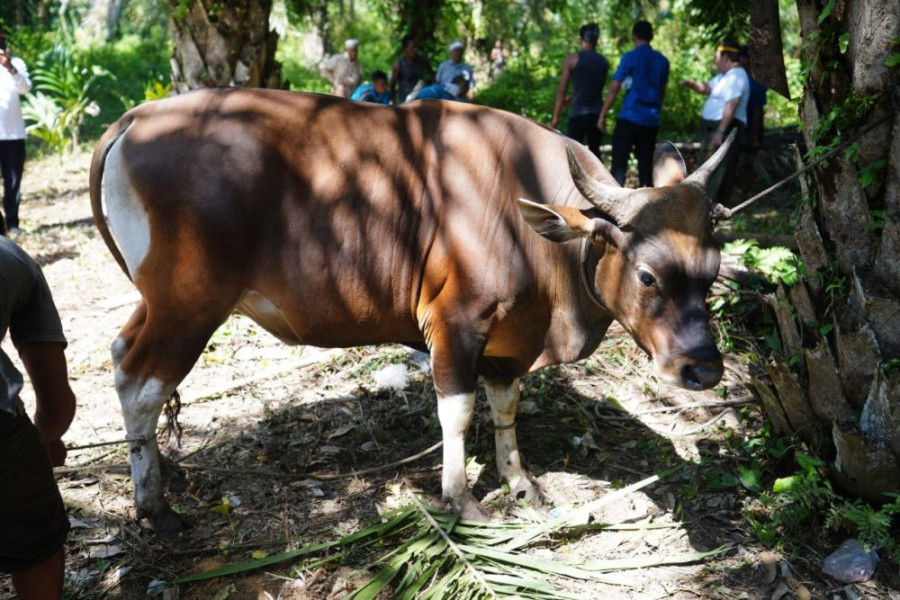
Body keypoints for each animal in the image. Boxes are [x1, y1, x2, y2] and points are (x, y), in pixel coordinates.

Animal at [89, 90, 732, 540]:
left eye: (713, 267)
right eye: (647, 276)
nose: (703, 369)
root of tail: (135, 119)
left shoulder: (511, 338)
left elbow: (505, 409)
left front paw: (520, 481)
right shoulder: (455, 324)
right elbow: (457, 412)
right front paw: (462, 499)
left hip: (160, 301)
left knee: (121, 354)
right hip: (190, 305)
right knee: (142, 382)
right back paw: (155, 507)